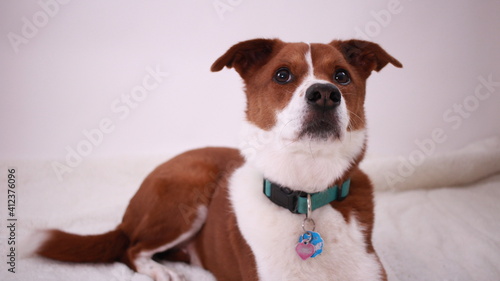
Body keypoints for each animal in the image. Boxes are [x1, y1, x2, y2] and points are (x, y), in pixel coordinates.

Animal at [35, 37, 402, 280]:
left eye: (341, 76)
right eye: (282, 75)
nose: (325, 94)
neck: (307, 194)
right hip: (187, 192)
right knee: (131, 249)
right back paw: (160, 270)